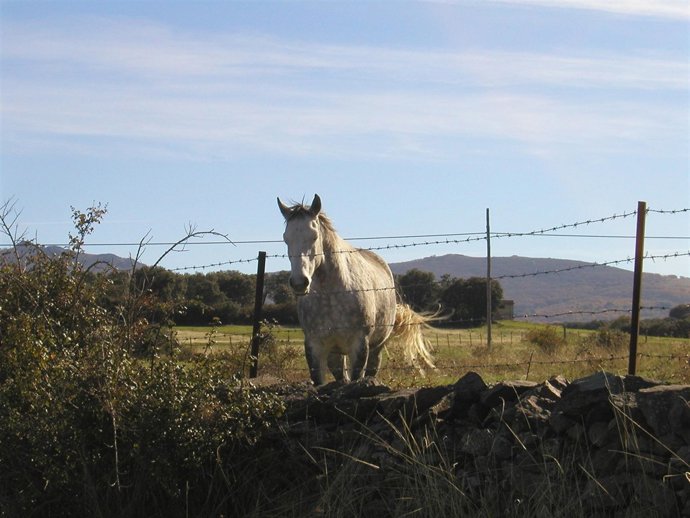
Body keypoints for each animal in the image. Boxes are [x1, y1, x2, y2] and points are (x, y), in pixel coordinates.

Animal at [277, 194, 435, 385]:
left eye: (314, 236)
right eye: (286, 238)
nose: (299, 283)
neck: (332, 295)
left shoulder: (359, 346)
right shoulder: (314, 347)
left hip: (376, 348)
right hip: (336, 353)